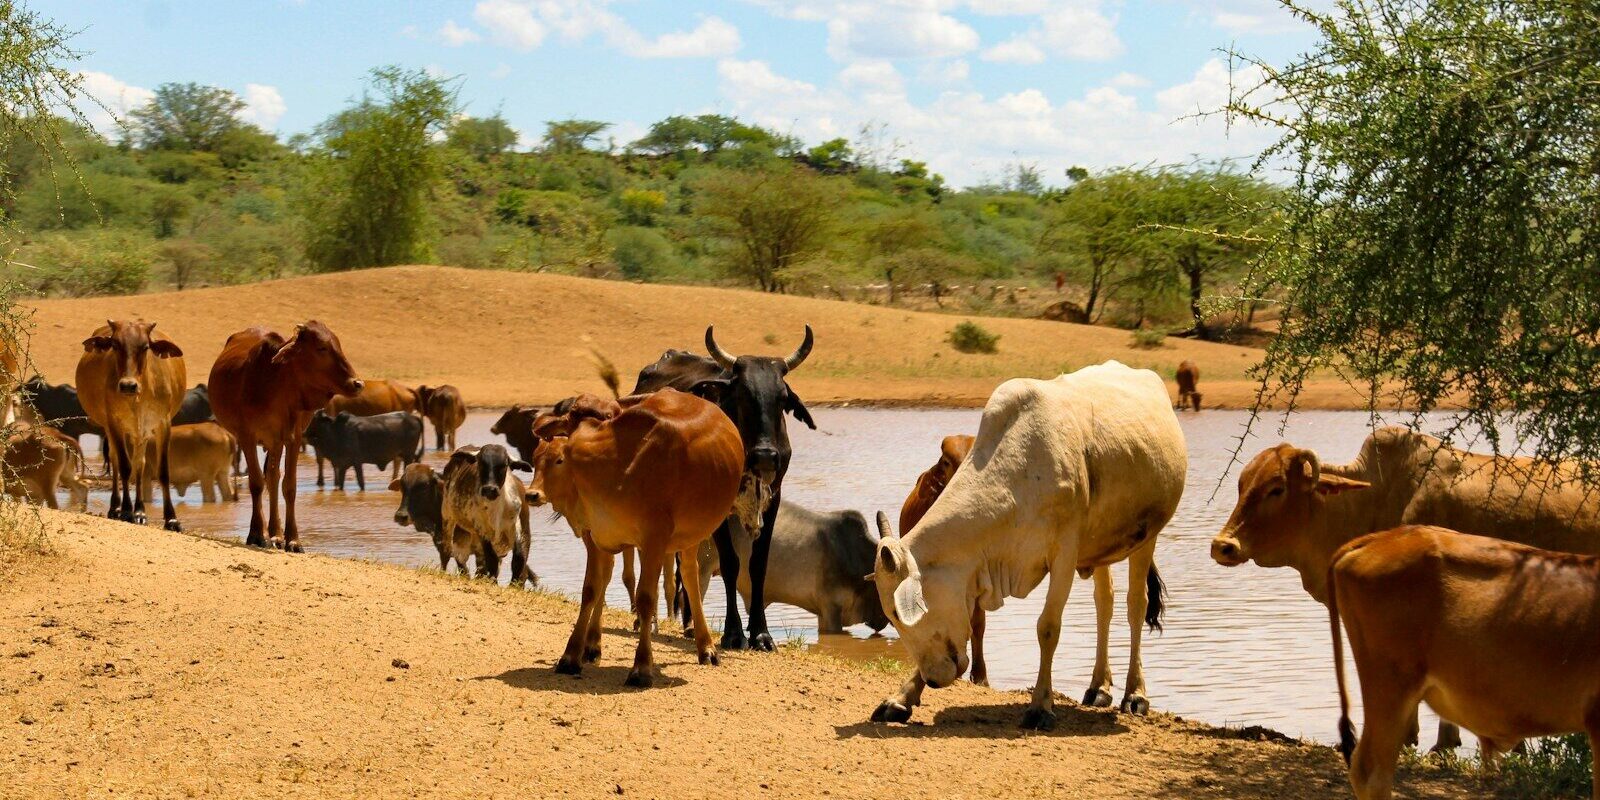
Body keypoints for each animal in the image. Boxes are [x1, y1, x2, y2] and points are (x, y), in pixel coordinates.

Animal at [76, 320, 187, 530]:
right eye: (115, 344)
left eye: (145, 347)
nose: (128, 385)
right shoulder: (114, 423)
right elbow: (125, 467)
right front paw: (126, 511)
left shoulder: (163, 424)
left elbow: (162, 471)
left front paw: (171, 518)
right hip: (113, 429)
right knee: (117, 461)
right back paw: (116, 508)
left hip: (139, 434)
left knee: (139, 464)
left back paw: (140, 511)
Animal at [209, 321, 361, 552]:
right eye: (322, 348)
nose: (357, 383)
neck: (276, 384)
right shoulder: (247, 436)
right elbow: (256, 483)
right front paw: (256, 534)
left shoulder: (292, 438)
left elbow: (289, 486)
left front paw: (293, 540)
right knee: (267, 479)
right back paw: (269, 533)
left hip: (275, 442)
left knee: (273, 478)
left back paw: (276, 534)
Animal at [524, 389, 742, 686]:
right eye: (571, 418)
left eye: (607, 417)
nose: (533, 494)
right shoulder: (596, 535)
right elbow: (591, 590)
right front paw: (571, 655)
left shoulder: (654, 540)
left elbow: (646, 598)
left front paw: (641, 667)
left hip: (690, 536)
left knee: (690, 578)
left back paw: (706, 647)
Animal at [631, 326, 816, 651]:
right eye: (742, 394)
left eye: (782, 398)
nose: (765, 456)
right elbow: (731, 564)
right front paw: (733, 633)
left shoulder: (773, 501)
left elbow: (758, 565)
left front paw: (761, 633)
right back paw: (645, 622)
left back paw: (690, 625)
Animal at [870, 361, 1185, 729]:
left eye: (897, 613)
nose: (934, 679)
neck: (1018, 476)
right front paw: (901, 698)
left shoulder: (1064, 554)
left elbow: (1047, 628)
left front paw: (1040, 706)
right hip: (1100, 548)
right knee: (1104, 603)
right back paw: (1098, 687)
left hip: (1146, 537)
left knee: (1136, 605)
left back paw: (1135, 693)